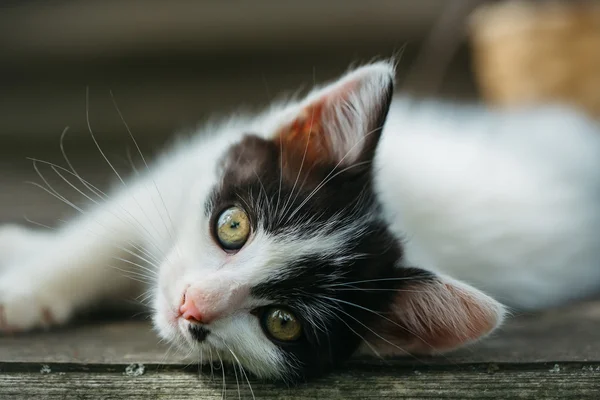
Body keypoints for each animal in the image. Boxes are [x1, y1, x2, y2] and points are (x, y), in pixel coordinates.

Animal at [1, 60, 600, 382]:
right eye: (232, 227)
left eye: (283, 323)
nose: (191, 306)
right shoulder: (182, 172)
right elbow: (94, 239)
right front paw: (24, 279)